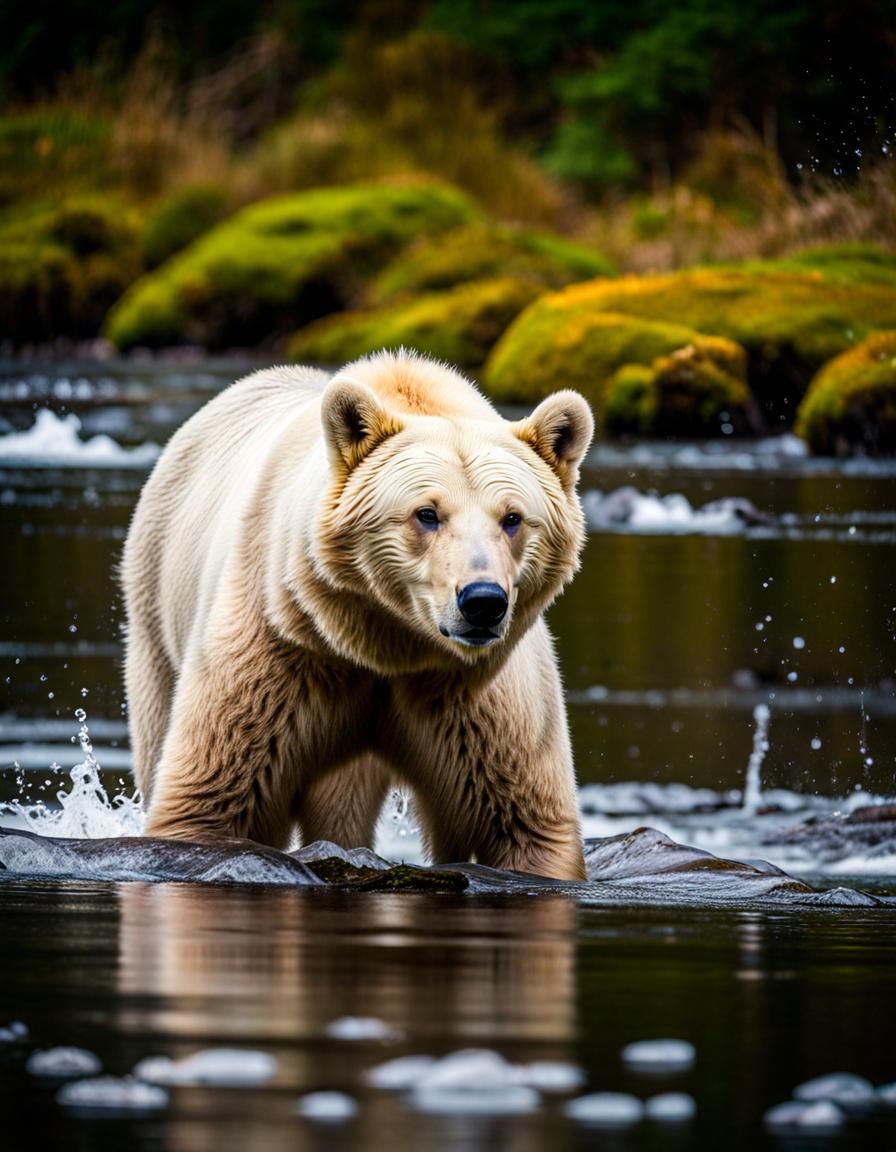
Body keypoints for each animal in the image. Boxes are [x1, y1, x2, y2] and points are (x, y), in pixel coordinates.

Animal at [122, 350, 593, 880]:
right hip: (154, 606)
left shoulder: (477, 696)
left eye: (512, 517)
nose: (482, 601)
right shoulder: (280, 646)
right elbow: (210, 797)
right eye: (427, 513)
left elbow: (524, 821)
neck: (384, 643)